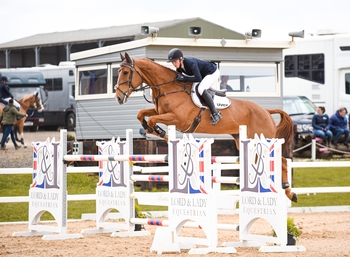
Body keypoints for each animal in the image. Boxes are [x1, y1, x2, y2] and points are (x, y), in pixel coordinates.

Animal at [115, 53, 298, 202]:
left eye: (125, 73)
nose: (118, 97)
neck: (168, 87)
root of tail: (266, 111)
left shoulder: (178, 119)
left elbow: (152, 119)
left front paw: (160, 132)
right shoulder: (161, 112)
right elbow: (142, 114)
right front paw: (152, 130)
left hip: (264, 138)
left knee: (282, 161)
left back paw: (289, 192)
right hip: (245, 140)